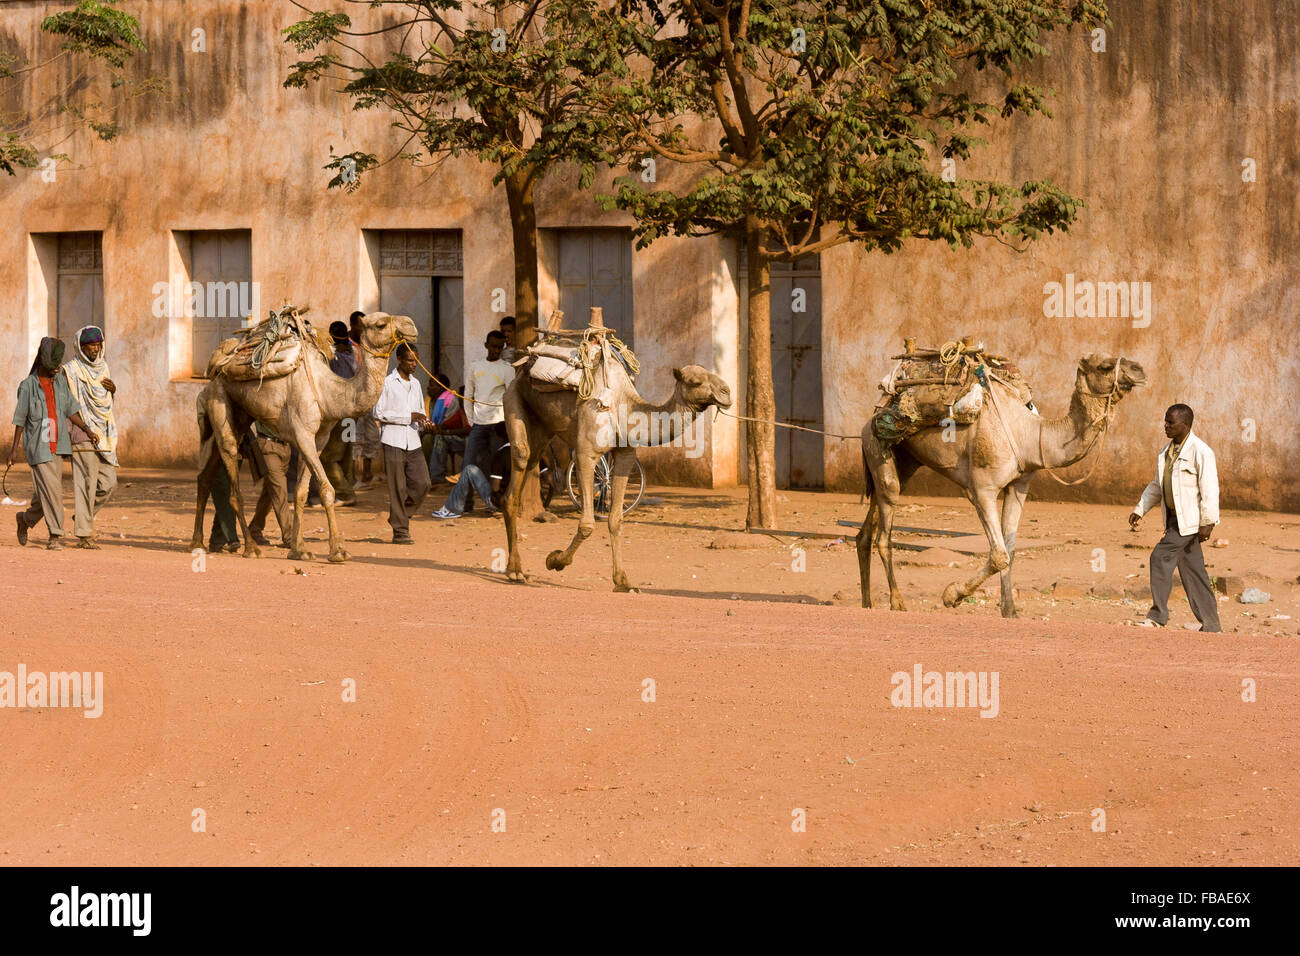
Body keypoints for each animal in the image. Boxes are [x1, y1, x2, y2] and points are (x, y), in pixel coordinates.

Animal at [189, 310, 416, 561]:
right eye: (380, 324)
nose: (411, 326)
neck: (328, 392)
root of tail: (214, 372)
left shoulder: (318, 439)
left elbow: (300, 491)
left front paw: (299, 550)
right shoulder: (303, 434)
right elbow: (326, 489)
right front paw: (337, 551)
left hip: (238, 416)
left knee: (205, 477)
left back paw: (197, 543)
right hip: (219, 399)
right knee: (232, 482)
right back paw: (250, 547)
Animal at [501, 325, 738, 590]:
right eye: (696, 381)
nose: (727, 392)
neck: (623, 408)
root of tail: (523, 364)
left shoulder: (625, 456)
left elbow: (615, 519)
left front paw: (623, 581)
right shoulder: (586, 454)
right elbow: (587, 524)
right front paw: (555, 560)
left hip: (544, 426)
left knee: (530, 463)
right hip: (513, 398)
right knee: (520, 460)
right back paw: (515, 571)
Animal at [852, 356, 1149, 616]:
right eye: (1105, 366)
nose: (1140, 369)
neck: (1031, 435)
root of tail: (874, 414)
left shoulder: (1019, 486)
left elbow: (1011, 550)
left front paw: (1010, 611)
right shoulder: (981, 489)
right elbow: (999, 555)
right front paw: (952, 595)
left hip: (904, 461)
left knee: (866, 531)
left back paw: (867, 603)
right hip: (877, 447)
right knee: (884, 532)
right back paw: (897, 602)